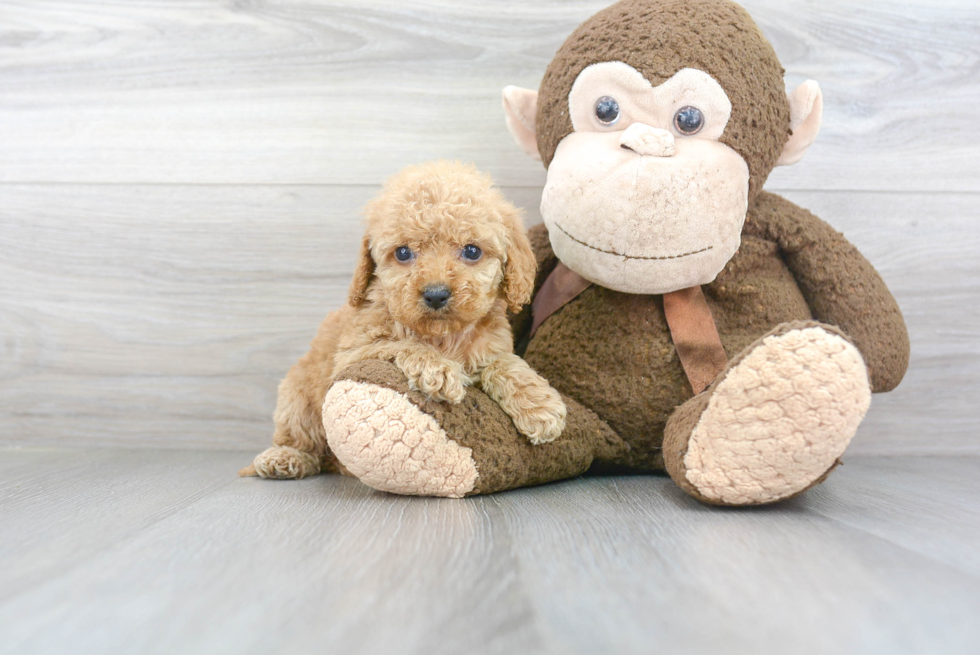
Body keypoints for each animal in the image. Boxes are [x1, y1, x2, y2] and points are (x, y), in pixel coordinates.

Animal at [241, 161, 568, 480]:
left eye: (472, 251)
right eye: (403, 253)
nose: (436, 294)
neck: (444, 335)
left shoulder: (492, 346)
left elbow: (504, 362)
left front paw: (539, 407)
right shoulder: (354, 352)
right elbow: (400, 344)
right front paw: (437, 369)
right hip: (296, 396)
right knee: (301, 438)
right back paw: (284, 458)